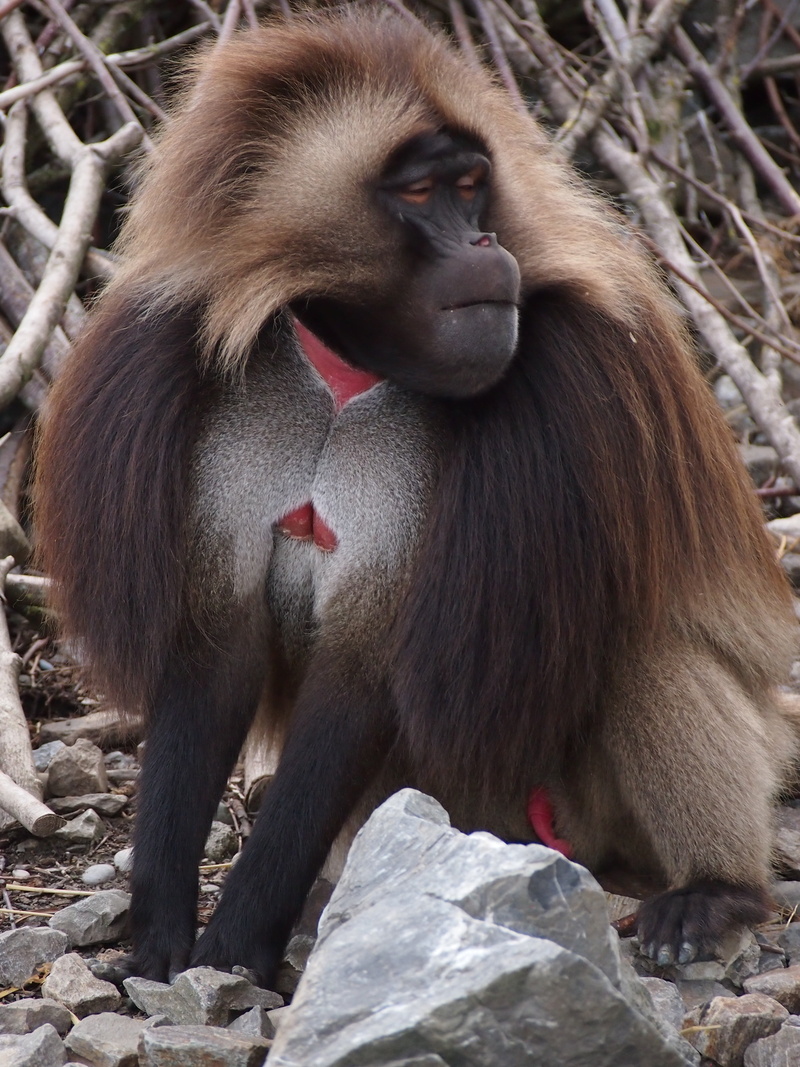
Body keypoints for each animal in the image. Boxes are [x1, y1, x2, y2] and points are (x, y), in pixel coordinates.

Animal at [34, 8, 799, 986]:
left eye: (473, 187)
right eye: (424, 191)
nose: (484, 245)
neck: (349, 367)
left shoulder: (584, 363)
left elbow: (363, 670)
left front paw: (236, 941)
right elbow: (214, 652)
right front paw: (161, 931)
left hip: (575, 810)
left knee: (645, 645)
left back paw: (713, 892)